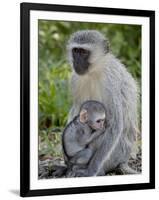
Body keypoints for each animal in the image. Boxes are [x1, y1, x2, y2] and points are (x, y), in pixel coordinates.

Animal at [66, 30, 139, 177]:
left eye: (83, 52)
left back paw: (97, 170)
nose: (77, 61)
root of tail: (124, 160)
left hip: (116, 155)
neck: (95, 71)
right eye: (76, 51)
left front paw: (91, 171)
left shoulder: (110, 81)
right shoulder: (75, 79)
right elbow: (78, 113)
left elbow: (115, 125)